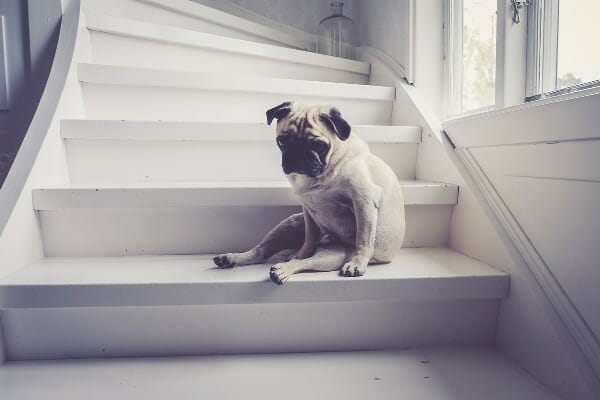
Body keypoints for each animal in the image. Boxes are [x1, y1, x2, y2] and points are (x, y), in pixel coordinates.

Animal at [213, 103, 406, 284]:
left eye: (319, 145)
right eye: (282, 141)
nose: (298, 153)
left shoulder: (363, 201)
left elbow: (364, 239)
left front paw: (357, 264)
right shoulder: (308, 210)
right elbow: (309, 237)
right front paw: (303, 252)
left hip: (333, 256)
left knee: (304, 263)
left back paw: (282, 270)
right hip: (291, 222)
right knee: (262, 252)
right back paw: (232, 258)